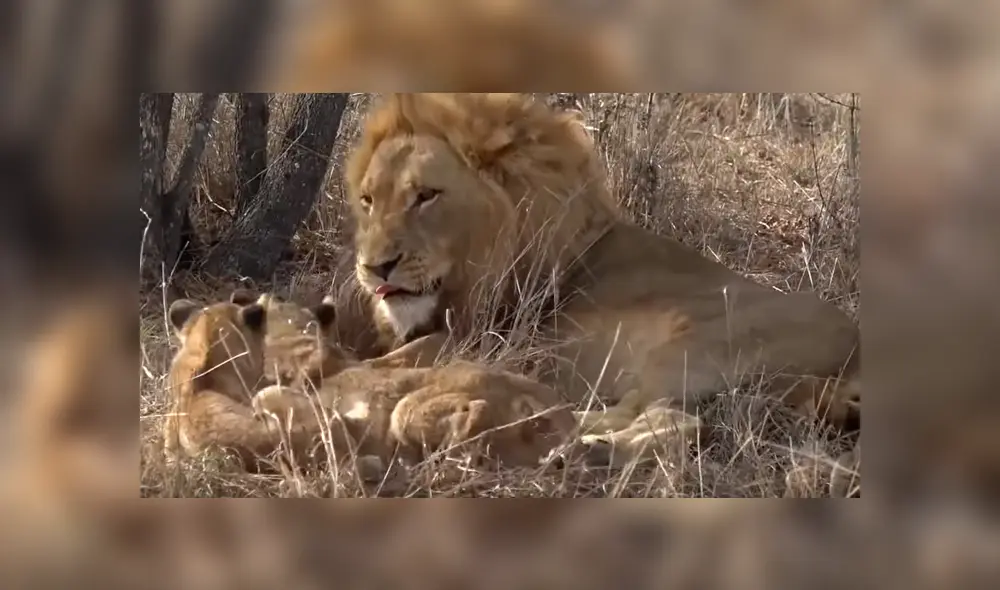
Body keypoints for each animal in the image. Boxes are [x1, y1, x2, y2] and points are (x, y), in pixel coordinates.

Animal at [344, 93, 861, 468]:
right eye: (368, 200)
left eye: (426, 196)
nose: (374, 268)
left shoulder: (504, 339)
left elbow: (397, 359)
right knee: (677, 421)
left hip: (696, 345)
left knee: (652, 414)